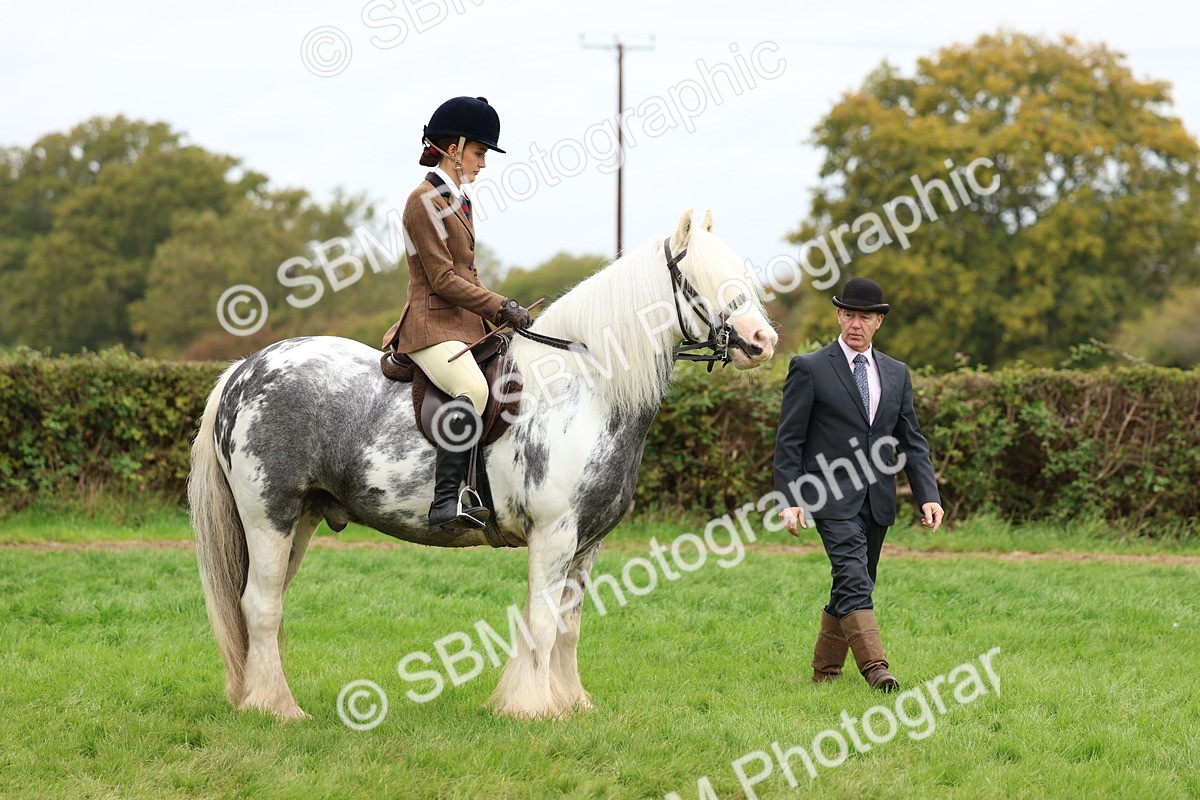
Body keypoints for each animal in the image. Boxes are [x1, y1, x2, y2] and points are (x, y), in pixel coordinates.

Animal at [188, 209, 778, 721]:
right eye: (703, 279)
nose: (762, 341)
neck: (584, 386)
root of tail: (244, 370)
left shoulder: (587, 543)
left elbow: (569, 626)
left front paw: (571, 704)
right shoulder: (554, 535)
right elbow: (542, 623)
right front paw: (534, 709)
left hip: (301, 520)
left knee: (264, 605)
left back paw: (258, 699)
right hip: (270, 516)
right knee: (260, 606)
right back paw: (278, 710)